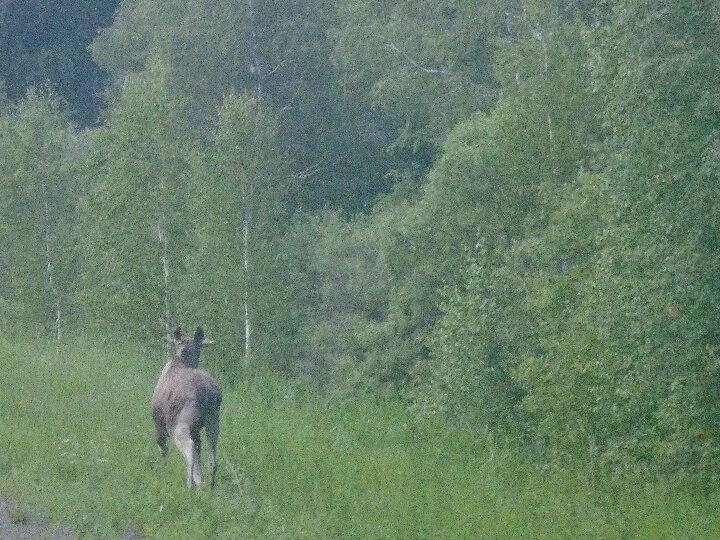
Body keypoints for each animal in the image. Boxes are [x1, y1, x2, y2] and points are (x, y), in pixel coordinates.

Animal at [151, 326, 219, 488]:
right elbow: (199, 452)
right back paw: (210, 485)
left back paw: (190, 484)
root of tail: (207, 393)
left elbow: (162, 449)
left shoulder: (158, 424)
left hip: (180, 425)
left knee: (189, 449)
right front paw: (200, 481)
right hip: (213, 420)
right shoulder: (196, 430)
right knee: (212, 454)